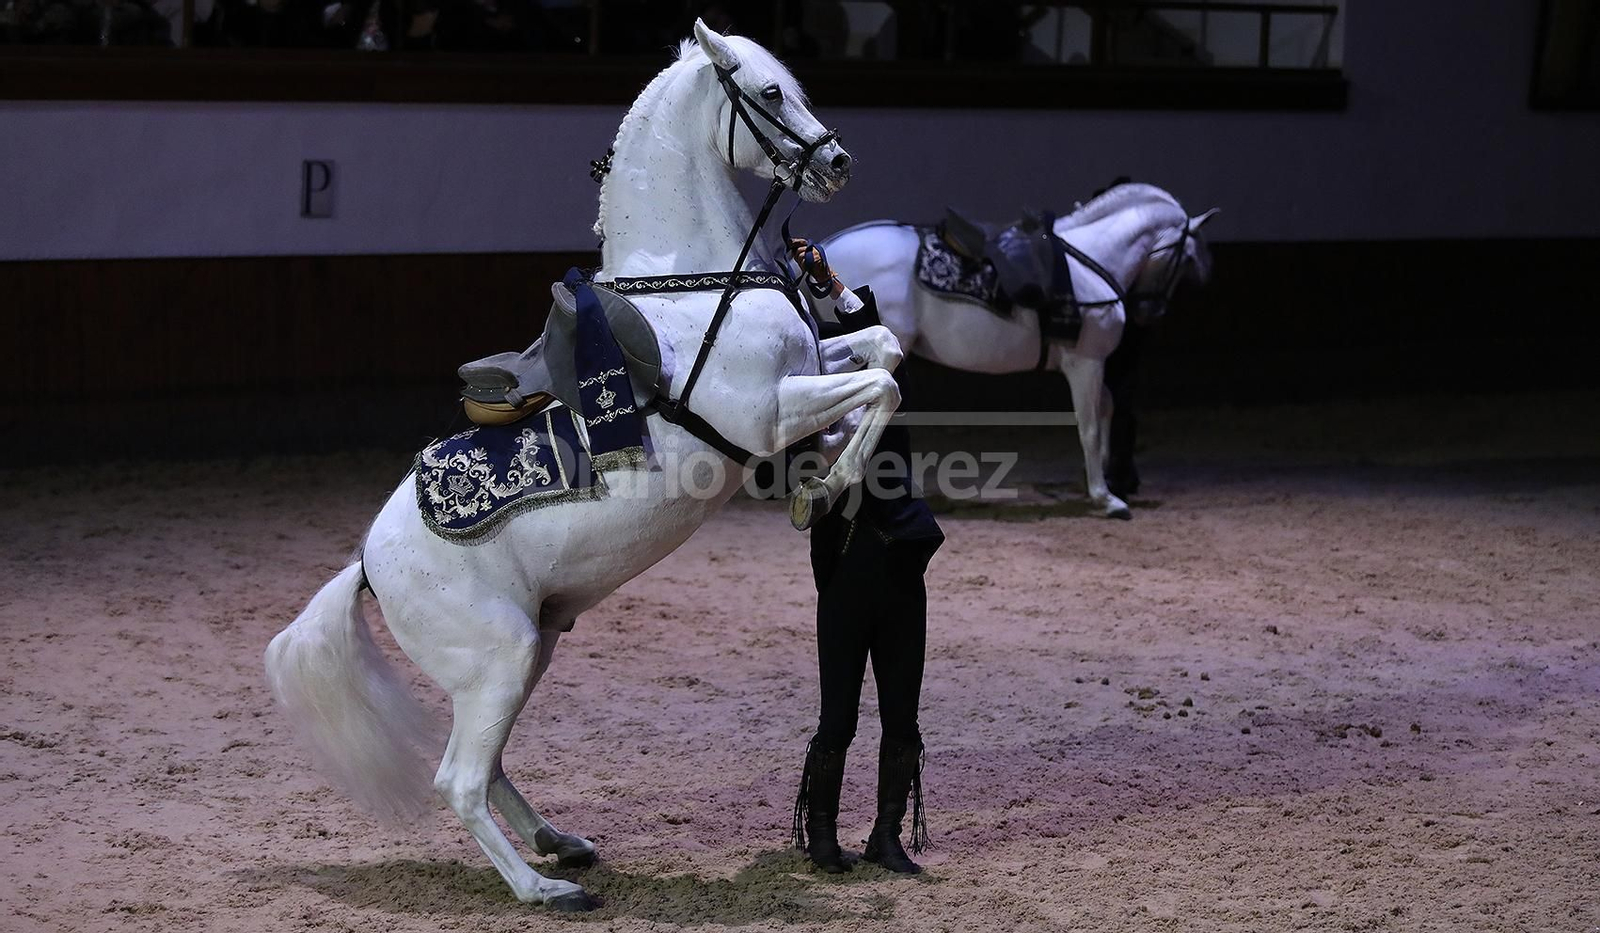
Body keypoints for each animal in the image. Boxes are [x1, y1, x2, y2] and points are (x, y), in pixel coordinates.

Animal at [264, 20, 907, 910]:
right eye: (771, 92)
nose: (837, 162)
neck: (695, 282)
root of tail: (365, 566)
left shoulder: (809, 370)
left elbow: (884, 349)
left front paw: (829, 467)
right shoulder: (768, 410)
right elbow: (883, 380)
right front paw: (822, 487)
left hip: (528, 652)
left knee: (490, 766)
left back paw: (557, 841)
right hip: (498, 660)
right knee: (458, 779)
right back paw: (544, 888)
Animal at [816, 183, 1218, 518]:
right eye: (1186, 258)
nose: (1149, 312)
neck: (1088, 261)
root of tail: (830, 246)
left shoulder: (1093, 365)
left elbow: (1105, 410)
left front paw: (1099, 478)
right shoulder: (1085, 363)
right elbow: (1088, 425)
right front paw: (1106, 498)